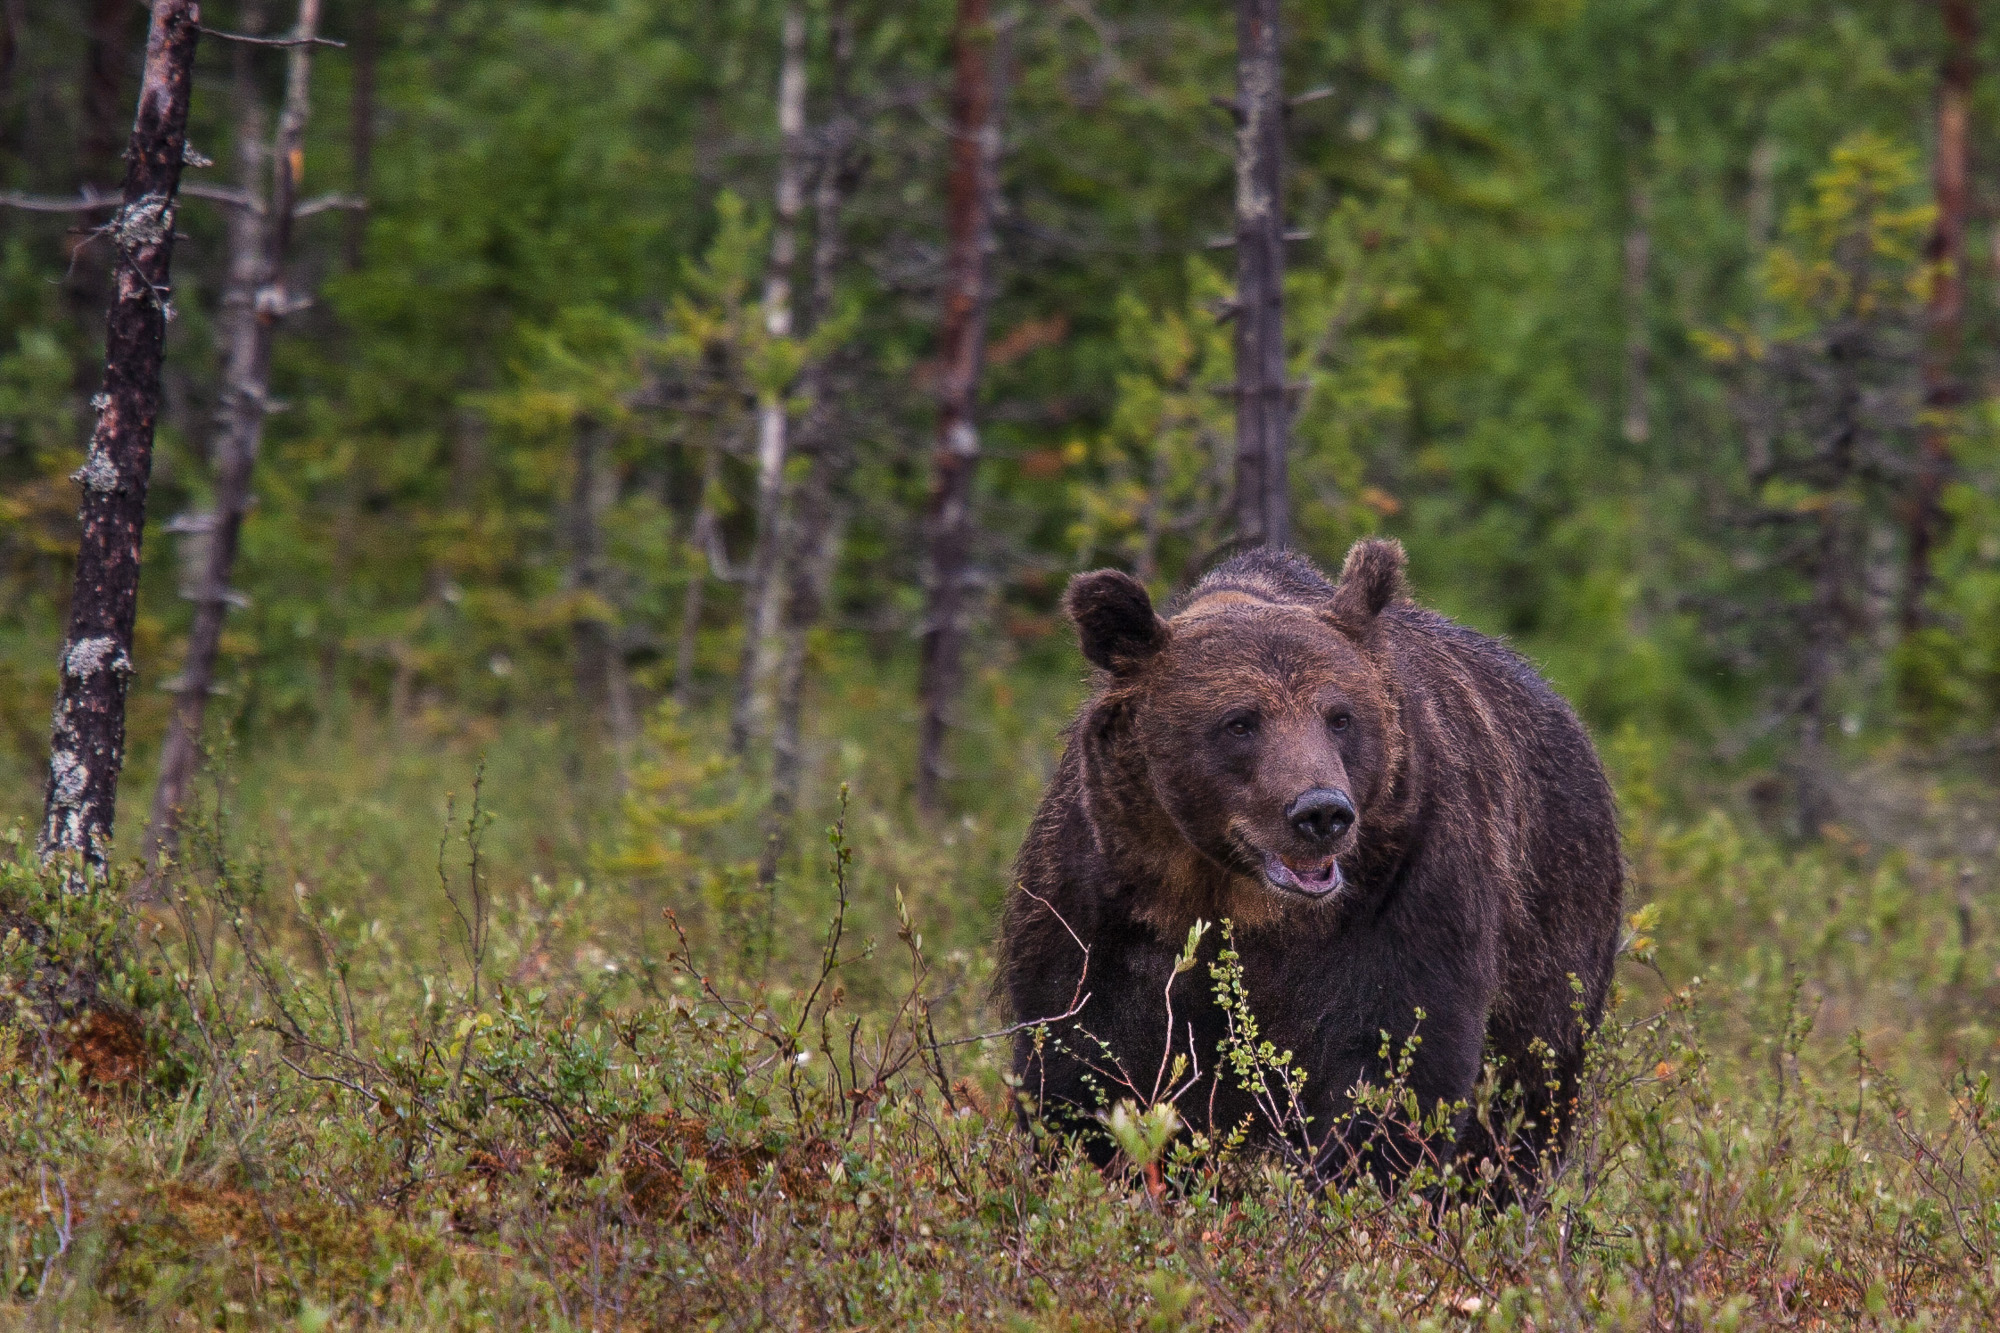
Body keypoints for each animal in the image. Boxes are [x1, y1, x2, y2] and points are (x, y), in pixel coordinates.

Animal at [1000, 540, 1624, 1184]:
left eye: (1340, 716)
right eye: (1240, 722)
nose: (1321, 811)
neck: (1233, 895)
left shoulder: (1404, 891)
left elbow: (1394, 1065)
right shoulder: (1104, 900)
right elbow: (1078, 1059)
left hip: (1553, 939)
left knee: (1524, 1109)